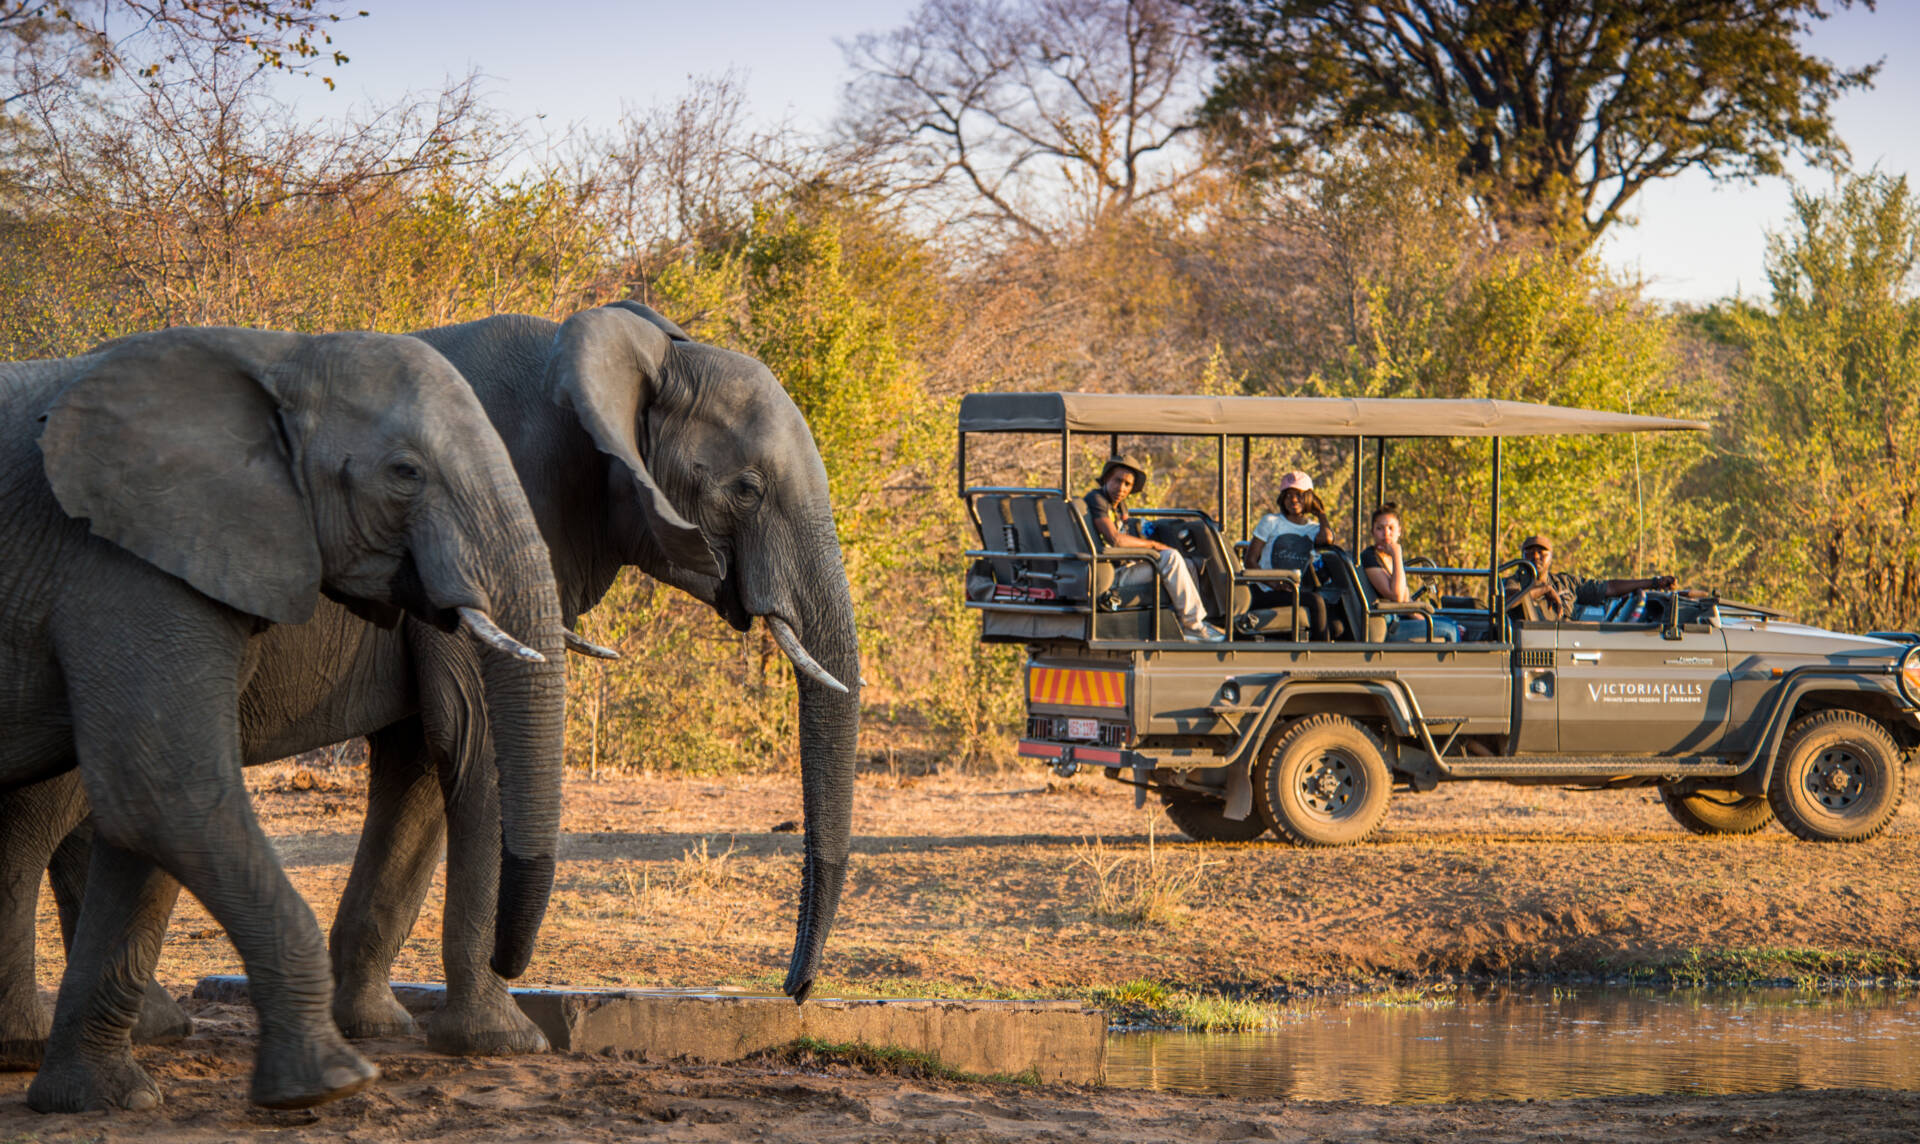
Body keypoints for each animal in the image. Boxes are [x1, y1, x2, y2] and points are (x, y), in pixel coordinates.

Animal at [0, 326, 568, 1113]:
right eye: (405, 473)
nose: (513, 962)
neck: (279, 357)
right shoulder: (120, 564)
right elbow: (163, 796)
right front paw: (328, 1083)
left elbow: (145, 822)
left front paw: (103, 1100)